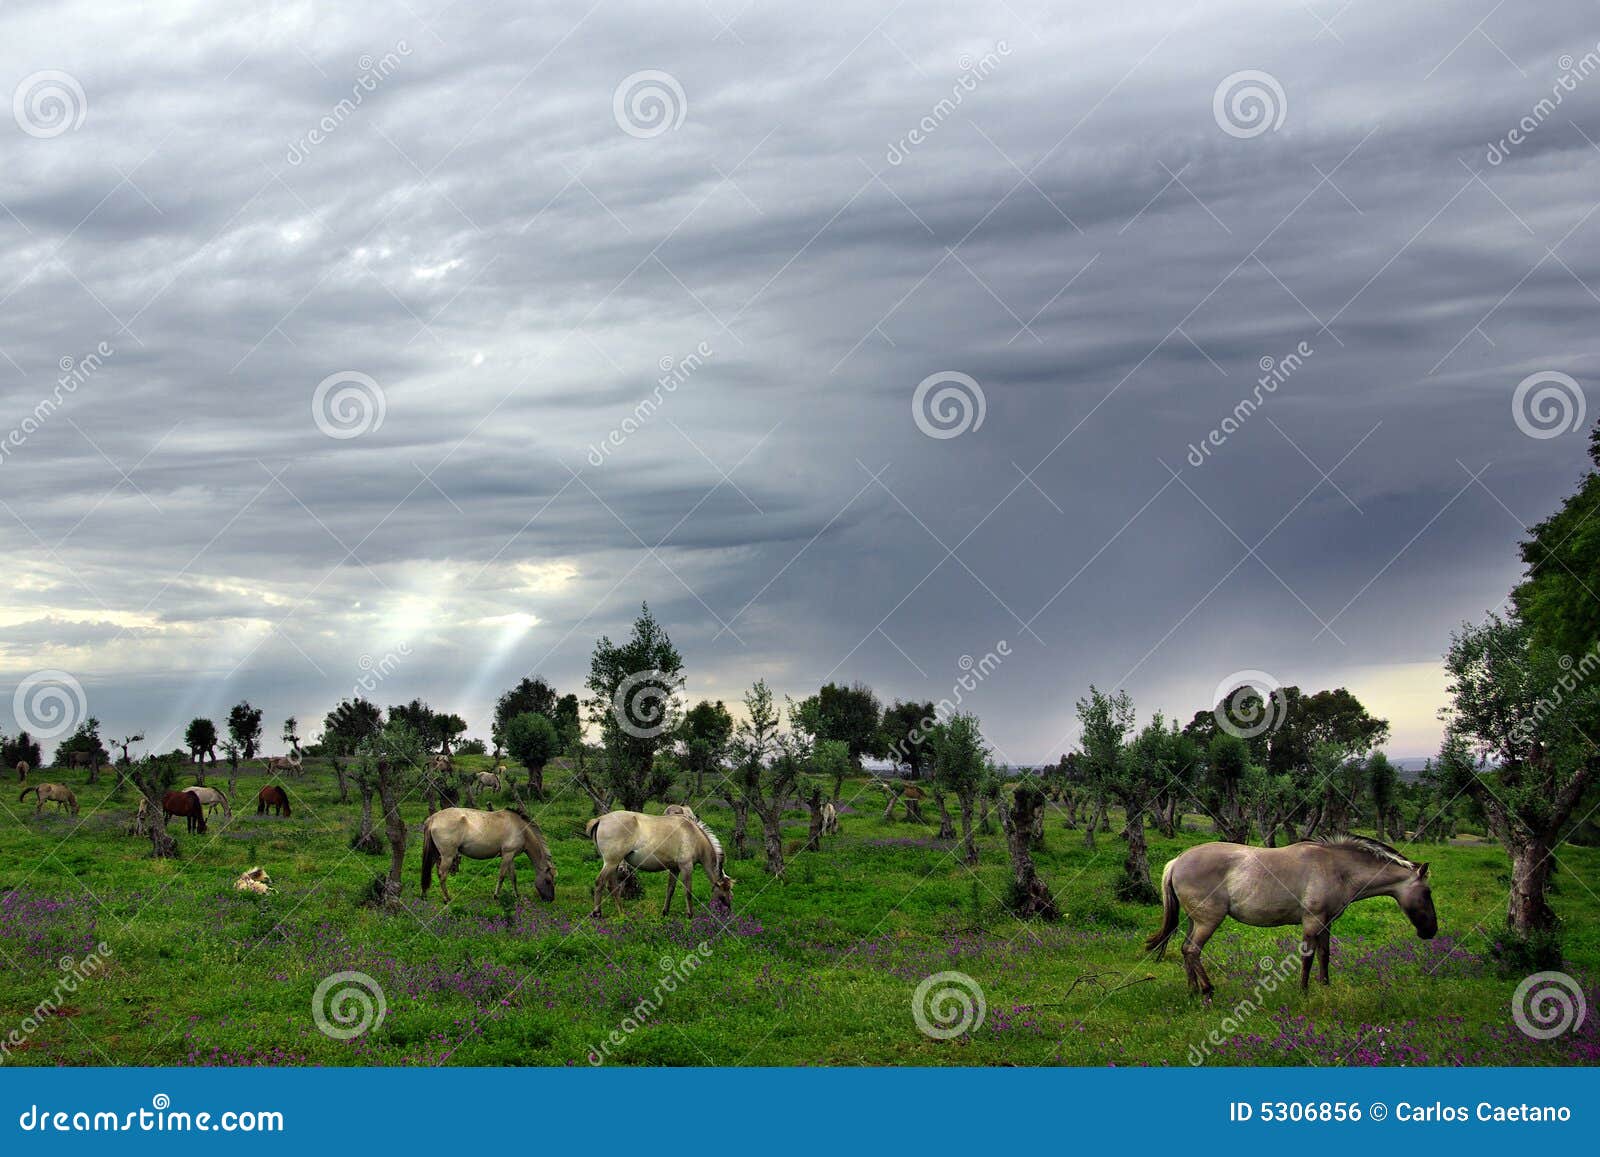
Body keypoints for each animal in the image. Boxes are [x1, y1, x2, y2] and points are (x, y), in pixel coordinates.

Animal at [421, 806, 555, 903]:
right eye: (548, 881)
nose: (551, 899)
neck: (521, 829)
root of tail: (433, 818)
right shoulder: (507, 855)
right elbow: (502, 876)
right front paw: (496, 896)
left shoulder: (510, 856)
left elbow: (513, 877)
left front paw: (516, 895)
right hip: (447, 856)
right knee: (442, 875)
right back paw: (447, 899)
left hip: (435, 854)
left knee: (428, 871)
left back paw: (424, 895)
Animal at [586, 810, 734, 918]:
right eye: (724, 892)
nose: (728, 911)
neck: (693, 834)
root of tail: (600, 819)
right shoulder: (686, 867)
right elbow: (688, 892)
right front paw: (690, 914)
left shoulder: (674, 869)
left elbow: (670, 890)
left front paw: (665, 912)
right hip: (611, 862)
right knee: (599, 883)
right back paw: (597, 913)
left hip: (613, 864)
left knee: (612, 887)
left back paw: (622, 913)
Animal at [1145, 835, 1437, 998]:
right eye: (1427, 892)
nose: (1431, 931)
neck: (1337, 868)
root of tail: (1177, 861)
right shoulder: (1312, 921)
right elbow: (1307, 957)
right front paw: (1304, 991)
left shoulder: (1326, 923)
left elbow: (1324, 955)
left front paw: (1325, 986)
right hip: (1209, 921)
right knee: (1193, 950)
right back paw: (1207, 990)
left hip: (1194, 921)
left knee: (1186, 951)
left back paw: (1193, 991)